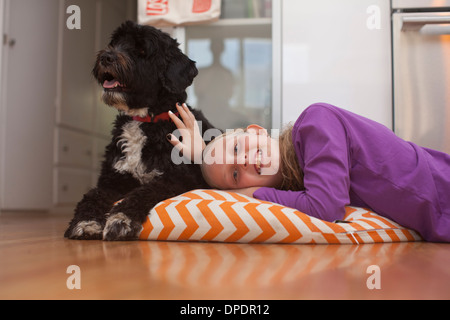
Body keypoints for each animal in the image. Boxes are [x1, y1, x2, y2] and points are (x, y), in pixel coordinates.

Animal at [64, 20, 217, 240]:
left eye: (142, 50)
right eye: (115, 43)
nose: (106, 56)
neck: (143, 121)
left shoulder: (177, 179)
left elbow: (144, 192)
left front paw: (121, 219)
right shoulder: (111, 180)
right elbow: (93, 194)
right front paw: (86, 222)